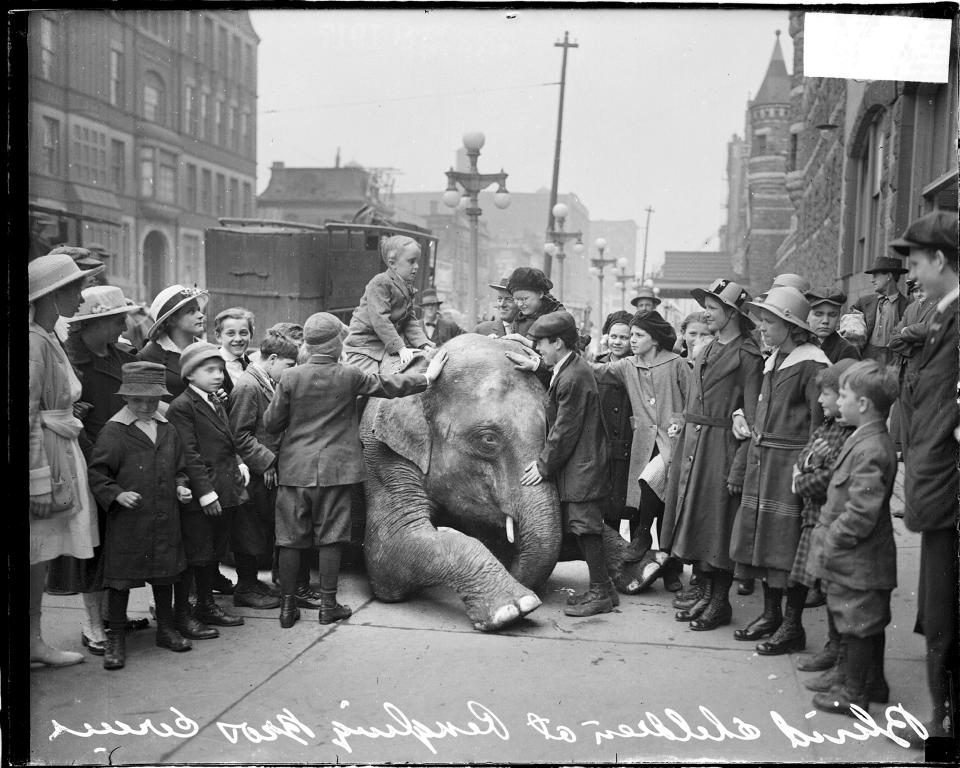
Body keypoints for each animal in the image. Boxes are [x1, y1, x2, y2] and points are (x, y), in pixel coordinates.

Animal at [356, 334, 664, 632]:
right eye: (488, 440)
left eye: (551, 428)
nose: (514, 567)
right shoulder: (380, 455)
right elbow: (387, 552)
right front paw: (514, 607)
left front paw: (649, 568)